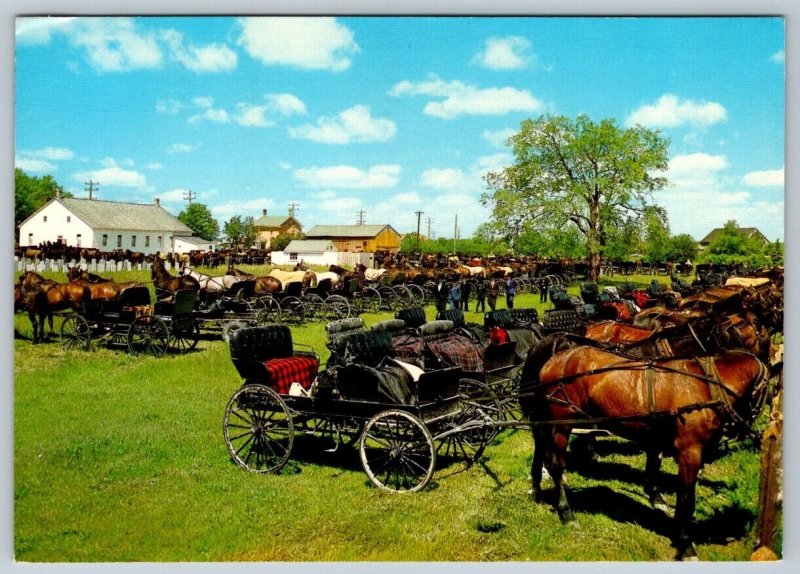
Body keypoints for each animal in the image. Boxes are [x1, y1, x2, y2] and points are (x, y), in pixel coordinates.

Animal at [520, 342, 768, 564]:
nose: (757, 435)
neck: (707, 386)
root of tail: (553, 359)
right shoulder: (689, 452)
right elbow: (686, 499)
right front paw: (686, 546)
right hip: (562, 423)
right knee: (557, 466)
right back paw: (566, 513)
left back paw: (537, 488)